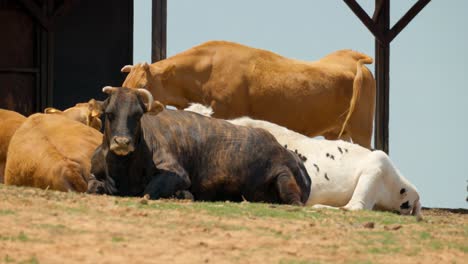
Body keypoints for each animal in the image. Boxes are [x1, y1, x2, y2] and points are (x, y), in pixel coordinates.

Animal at [87, 87, 314, 205]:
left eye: (137, 115)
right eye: (109, 114)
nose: (122, 142)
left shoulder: (177, 173)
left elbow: (149, 190)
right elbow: (92, 185)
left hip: (283, 177)